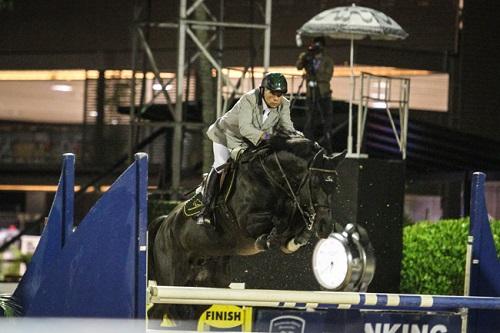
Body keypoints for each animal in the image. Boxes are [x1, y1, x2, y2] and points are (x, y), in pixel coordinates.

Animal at [146, 132, 346, 320]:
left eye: (335, 185)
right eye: (316, 183)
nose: (326, 227)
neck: (273, 178)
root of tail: (165, 222)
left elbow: (294, 223)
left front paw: (296, 239)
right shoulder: (247, 223)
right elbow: (277, 222)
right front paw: (268, 239)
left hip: (207, 287)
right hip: (172, 279)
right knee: (158, 310)